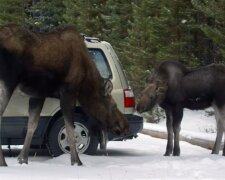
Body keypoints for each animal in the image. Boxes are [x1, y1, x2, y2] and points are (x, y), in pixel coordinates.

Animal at [0, 23, 128, 166]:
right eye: (113, 105)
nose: (125, 126)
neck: (85, 82)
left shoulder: (38, 94)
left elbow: (32, 125)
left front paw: (22, 159)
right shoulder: (68, 92)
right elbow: (70, 128)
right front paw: (76, 161)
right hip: (8, 82)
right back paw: (3, 162)